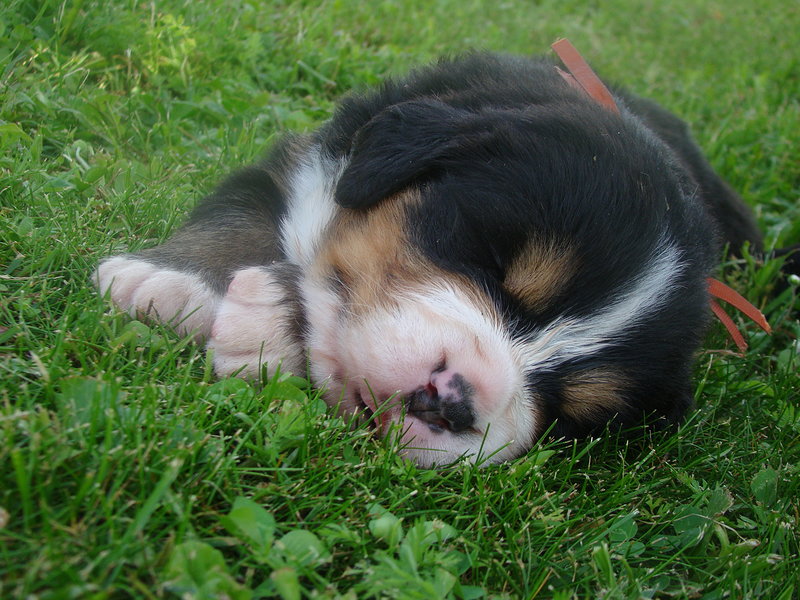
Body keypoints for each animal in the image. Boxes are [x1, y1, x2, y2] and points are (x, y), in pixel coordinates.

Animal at [97, 51, 792, 466]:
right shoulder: (298, 160)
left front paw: (261, 325)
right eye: (489, 258)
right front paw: (169, 284)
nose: (450, 402)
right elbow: (238, 217)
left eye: (569, 412)